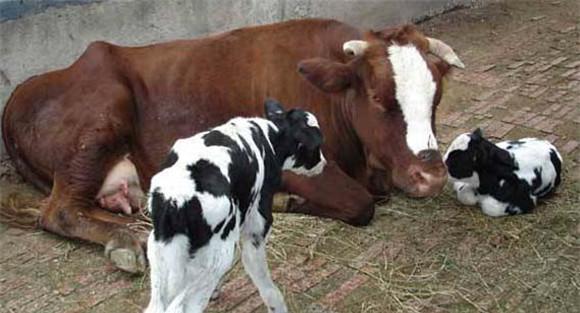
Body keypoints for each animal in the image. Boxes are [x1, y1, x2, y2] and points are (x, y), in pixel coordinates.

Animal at [0, 18, 462, 270]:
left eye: (437, 97)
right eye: (379, 98)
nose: (431, 176)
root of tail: (25, 87)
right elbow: (361, 202)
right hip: (100, 115)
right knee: (59, 210)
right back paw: (126, 242)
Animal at [144, 100, 326, 312]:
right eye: (316, 146)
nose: (323, 162)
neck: (269, 137)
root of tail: (177, 198)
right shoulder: (257, 224)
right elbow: (260, 274)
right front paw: (277, 305)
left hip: (160, 251)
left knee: (156, 305)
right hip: (216, 255)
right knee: (183, 305)